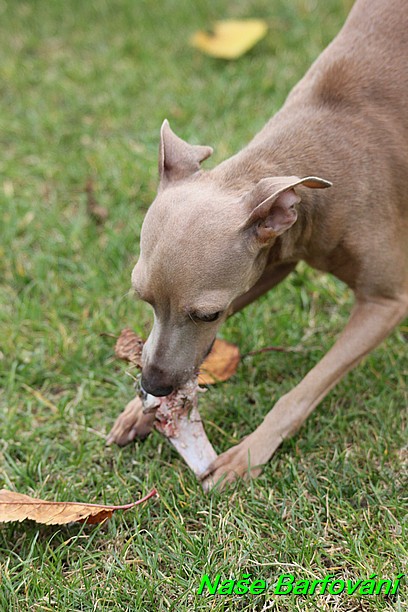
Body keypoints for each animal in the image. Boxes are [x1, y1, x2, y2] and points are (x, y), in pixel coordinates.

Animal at [130, 0, 408, 488]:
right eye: (141, 296)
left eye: (208, 314)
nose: (154, 385)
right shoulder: (272, 260)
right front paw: (136, 410)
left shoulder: (385, 304)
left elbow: (302, 392)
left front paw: (248, 452)